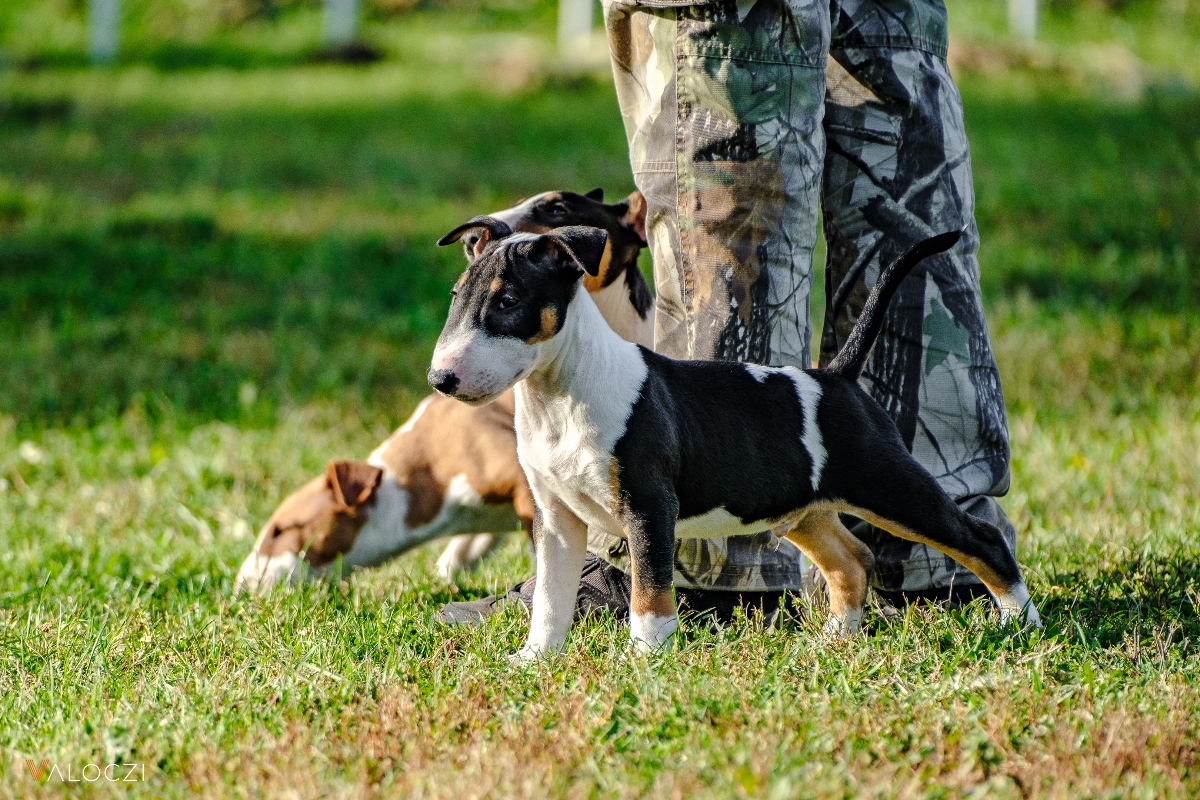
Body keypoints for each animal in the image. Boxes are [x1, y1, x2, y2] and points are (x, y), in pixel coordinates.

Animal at [429, 217, 1041, 657]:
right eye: (457, 294)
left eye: (508, 301)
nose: (441, 379)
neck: (560, 394)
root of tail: (838, 376)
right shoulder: (557, 518)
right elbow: (551, 599)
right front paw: (533, 659)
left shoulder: (649, 507)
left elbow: (648, 590)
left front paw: (645, 658)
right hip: (803, 509)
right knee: (852, 558)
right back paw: (834, 638)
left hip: (891, 485)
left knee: (981, 539)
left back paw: (1019, 623)